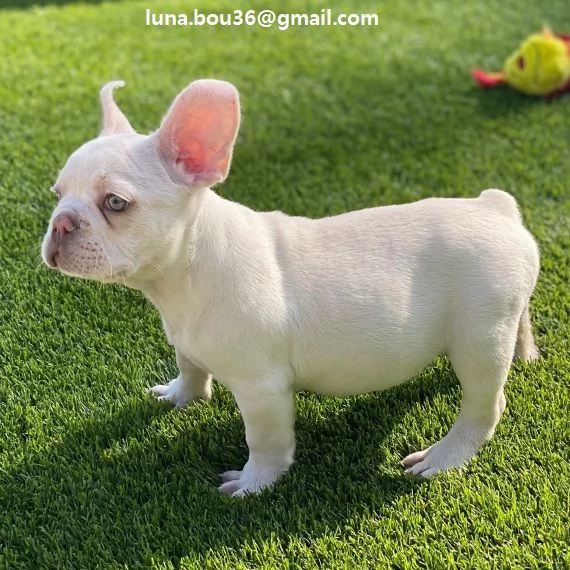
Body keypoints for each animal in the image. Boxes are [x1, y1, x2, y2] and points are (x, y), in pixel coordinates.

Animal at [42, 79, 540, 492]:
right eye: (56, 193)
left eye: (115, 203)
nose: (61, 223)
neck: (183, 271)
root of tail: (494, 208)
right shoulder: (187, 341)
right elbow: (191, 367)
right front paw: (181, 394)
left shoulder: (262, 389)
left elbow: (265, 442)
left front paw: (254, 483)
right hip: (502, 313)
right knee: (520, 322)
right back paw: (526, 353)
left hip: (477, 338)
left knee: (485, 405)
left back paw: (444, 456)